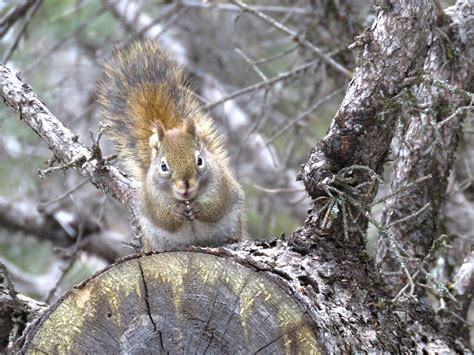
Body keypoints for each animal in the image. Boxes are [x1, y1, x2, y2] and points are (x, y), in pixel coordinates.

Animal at [96, 41, 244, 252]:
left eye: (199, 160)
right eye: (163, 166)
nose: (185, 187)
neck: (186, 199)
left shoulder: (222, 185)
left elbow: (215, 207)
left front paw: (199, 208)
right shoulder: (152, 199)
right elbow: (164, 218)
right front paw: (177, 212)